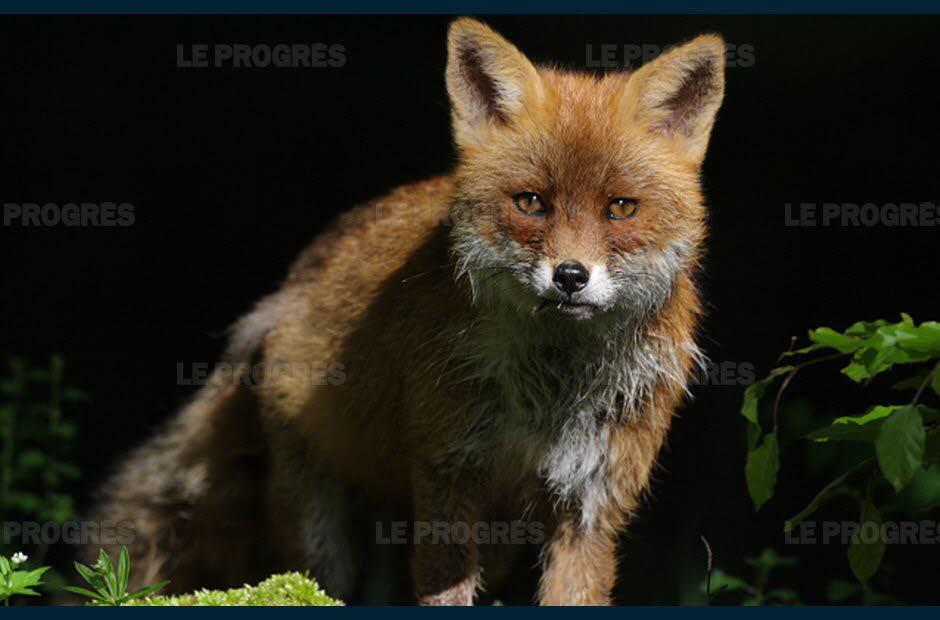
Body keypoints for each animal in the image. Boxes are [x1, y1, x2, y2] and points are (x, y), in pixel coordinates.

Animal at [84, 18, 725, 605]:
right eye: (530, 203)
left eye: (621, 208)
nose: (570, 276)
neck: (550, 389)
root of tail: (293, 282)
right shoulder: (447, 472)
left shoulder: (591, 502)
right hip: (322, 526)